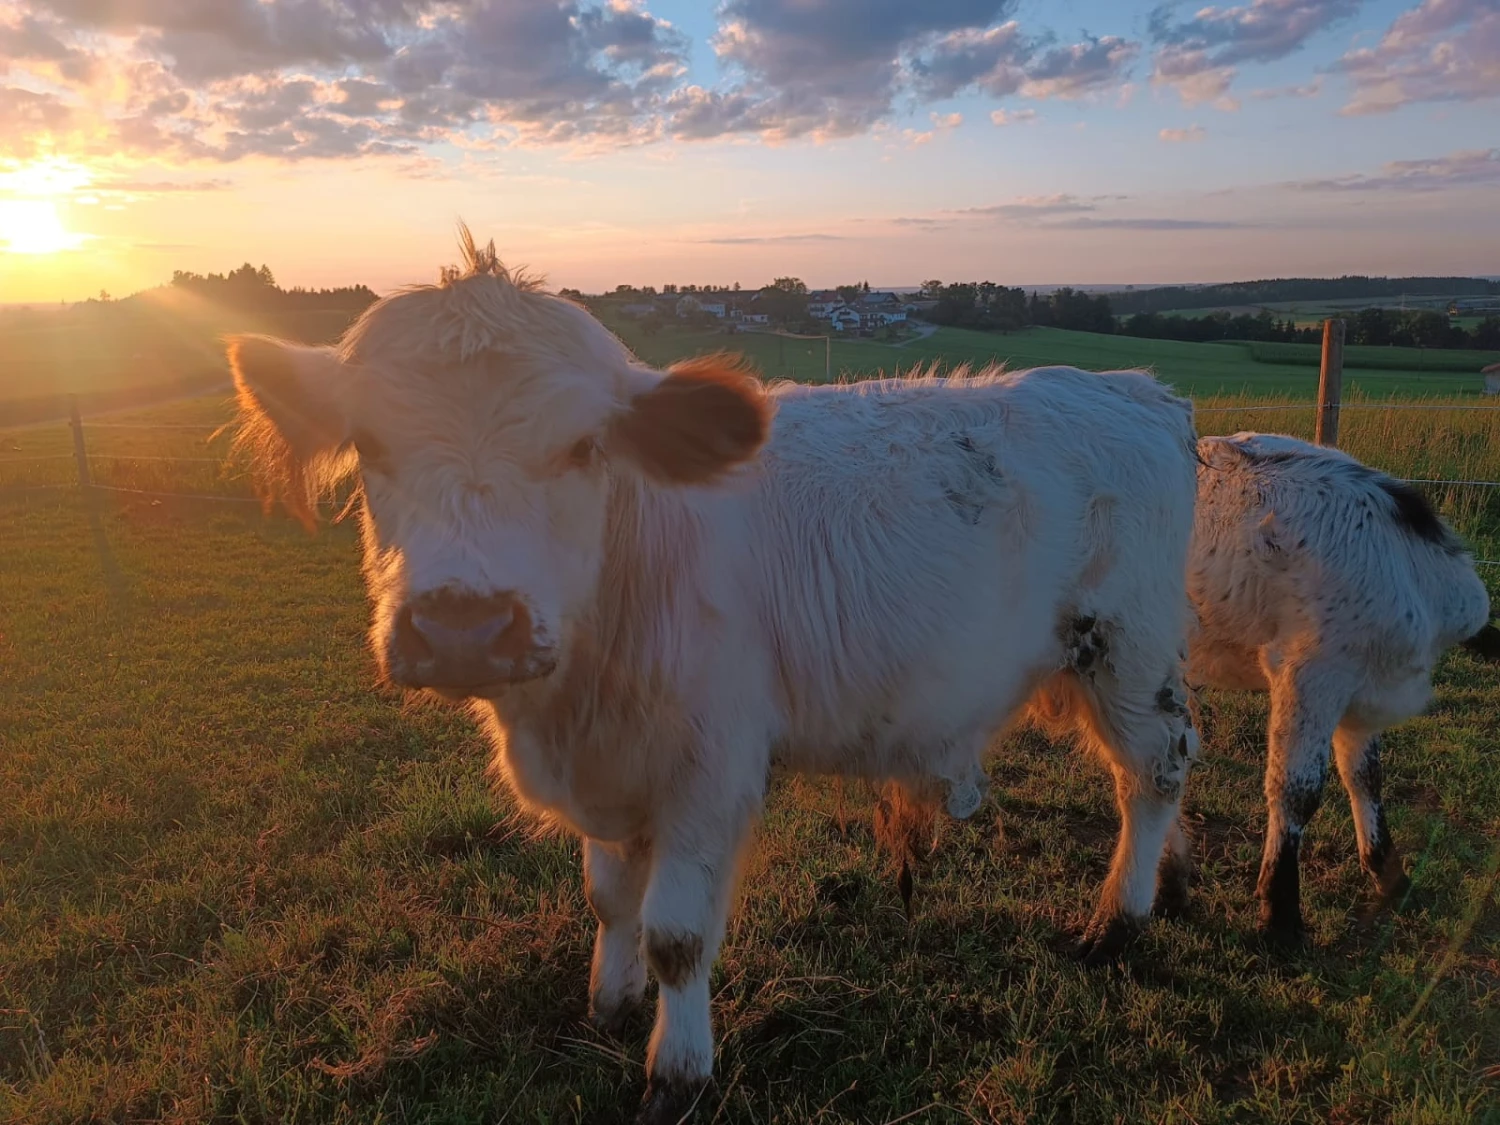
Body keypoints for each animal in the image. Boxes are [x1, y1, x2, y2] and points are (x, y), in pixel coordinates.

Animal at [225, 231, 1194, 1125]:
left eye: (584, 447)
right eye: (368, 443)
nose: (465, 625)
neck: (575, 701)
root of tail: (1136, 390)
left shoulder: (708, 769)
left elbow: (677, 937)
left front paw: (677, 1070)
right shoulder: (613, 769)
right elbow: (609, 899)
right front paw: (608, 1003)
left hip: (1131, 649)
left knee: (1155, 771)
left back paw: (1121, 916)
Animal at [1188, 432, 1494, 942]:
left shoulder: (1361, 695)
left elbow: (1365, 776)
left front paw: (1386, 870)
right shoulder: (1309, 674)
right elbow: (1297, 789)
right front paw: (1279, 910)